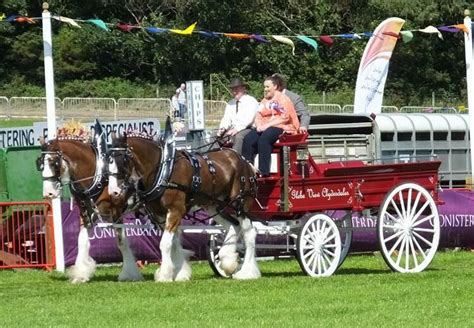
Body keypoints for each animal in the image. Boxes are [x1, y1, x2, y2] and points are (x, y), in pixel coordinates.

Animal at [37, 135, 143, 284]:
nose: (48, 194)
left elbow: (122, 243)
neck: (97, 176)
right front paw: (80, 274)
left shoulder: (116, 212)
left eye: (54, 163)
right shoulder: (86, 212)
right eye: (40, 164)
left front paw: (129, 274)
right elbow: (81, 241)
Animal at [109, 132, 262, 280]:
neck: (164, 171)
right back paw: (228, 261)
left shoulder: (176, 210)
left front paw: (165, 275)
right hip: (214, 205)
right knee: (233, 225)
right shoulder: (160, 215)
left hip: (240, 205)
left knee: (249, 233)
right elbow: (173, 243)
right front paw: (179, 273)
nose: (113, 192)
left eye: (121, 160)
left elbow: (165, 244)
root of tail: (244, 161)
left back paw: (247, 272)